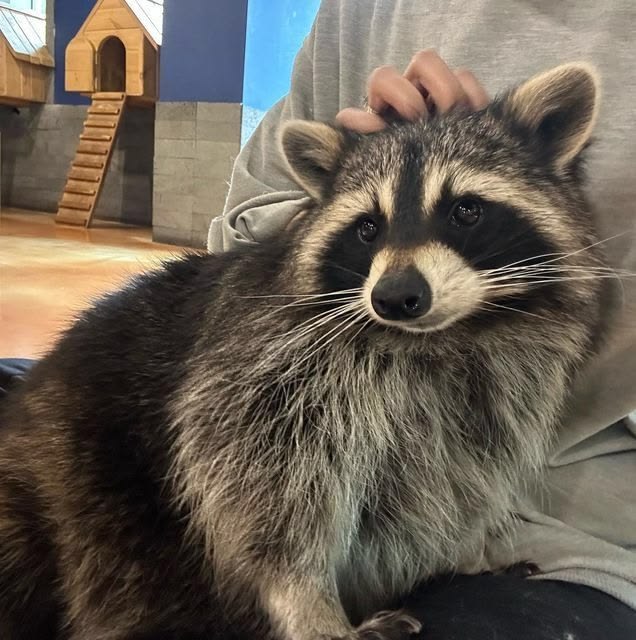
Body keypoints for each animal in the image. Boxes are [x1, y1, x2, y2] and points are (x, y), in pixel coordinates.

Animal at [0, 63, 606, 640]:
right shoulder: (261, 364)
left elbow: (454, 476)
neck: (434, 339)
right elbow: (262, 488)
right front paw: (306, 601)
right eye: (368, 228)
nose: (395, 297)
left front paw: (462, 555)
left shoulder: (494, 388)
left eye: (465, 211)